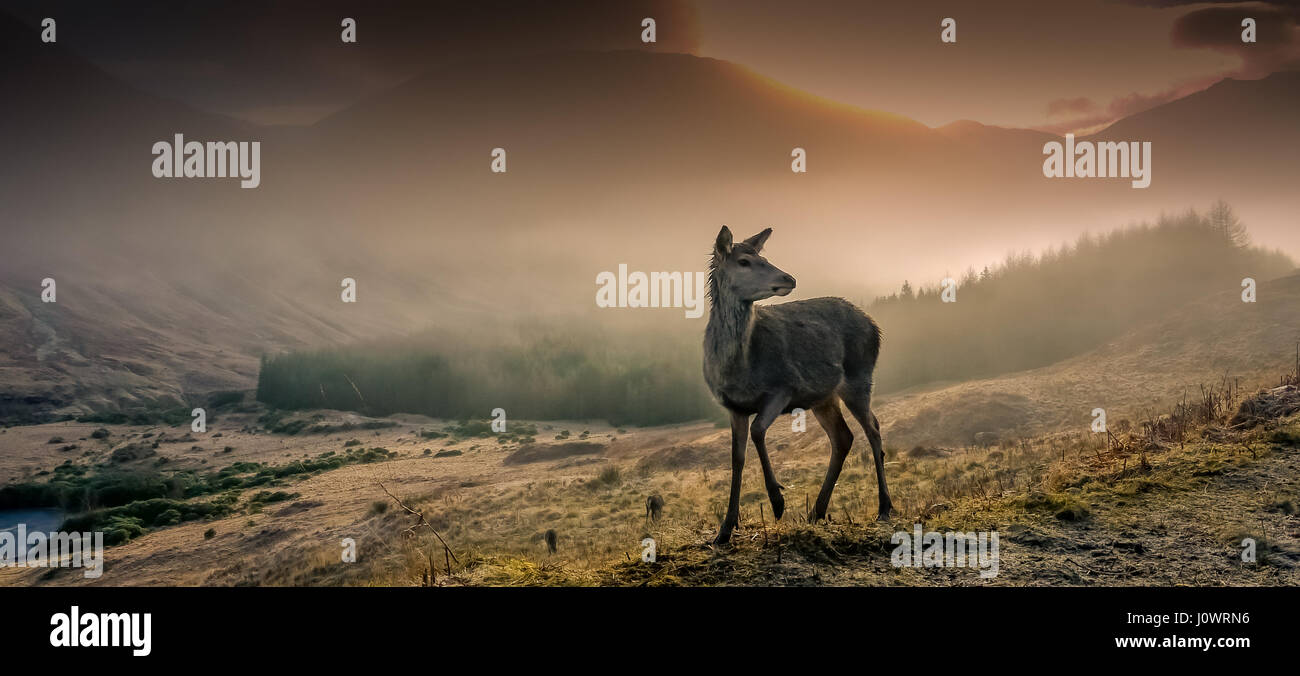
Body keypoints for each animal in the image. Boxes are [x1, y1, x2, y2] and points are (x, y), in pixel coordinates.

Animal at [703, 226, 891, 545]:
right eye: (744, 261)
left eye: (764, 257)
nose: (788, 278)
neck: (738, 367)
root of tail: (875, 326)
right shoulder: (733, 407)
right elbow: (736, 458)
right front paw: (724, 530)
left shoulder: (784, 387)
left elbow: (758, 431)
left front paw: (778, 502)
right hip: (824, 397)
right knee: (843, 437)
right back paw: (817, 511)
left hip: (859, 377)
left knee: (873, 429)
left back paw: (884, 507)